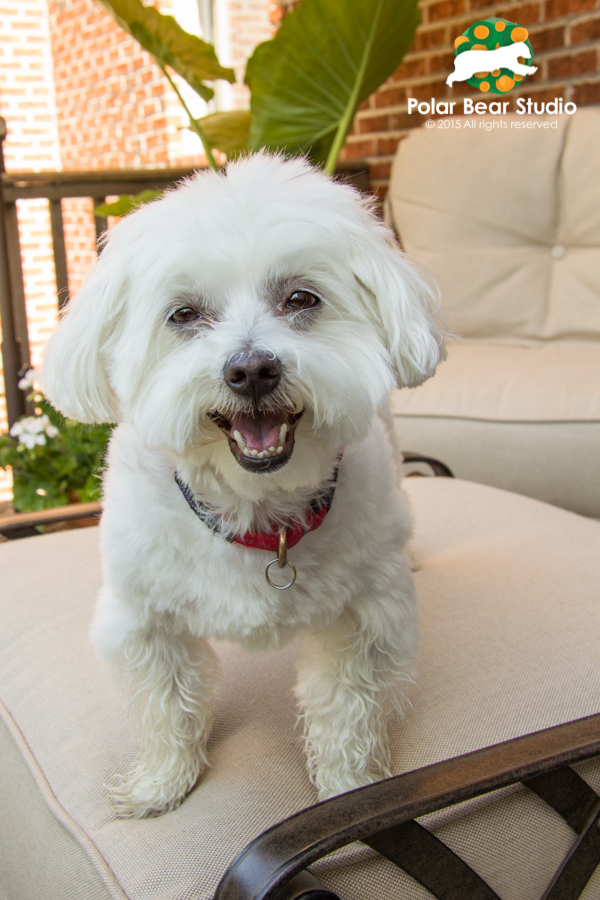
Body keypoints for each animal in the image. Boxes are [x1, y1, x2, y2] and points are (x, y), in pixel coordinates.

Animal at [42, 153, 442, 816]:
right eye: (183, 314)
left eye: (301, 298)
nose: (252, 369)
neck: (255, 513)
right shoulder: (141, 621)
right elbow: (166, 705)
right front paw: (163, 782)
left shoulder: (367, 621)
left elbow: (348, 709)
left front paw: (349, 788)